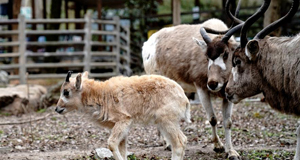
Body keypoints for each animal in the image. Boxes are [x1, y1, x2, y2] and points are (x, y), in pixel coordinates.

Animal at [55, 71, 191, 160]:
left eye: (66, 92)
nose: (57, 109)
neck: (101, 95)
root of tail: (184, 98)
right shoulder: (123, 128)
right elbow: (123, 150)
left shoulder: (124, 121)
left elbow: (111, 144)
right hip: (165, 123)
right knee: (183, 140)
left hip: (167, 122)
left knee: (178, 144)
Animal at [141, 0, 244, 159]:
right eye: (207, 56)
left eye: (226, 53)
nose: (213, 84)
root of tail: (149, 42)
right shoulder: (201, 87)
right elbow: (213, 118)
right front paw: (218, 146)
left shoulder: (227, 93)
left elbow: (228, 122)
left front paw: (231, 152)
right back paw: (168, 144)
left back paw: (164, 142)